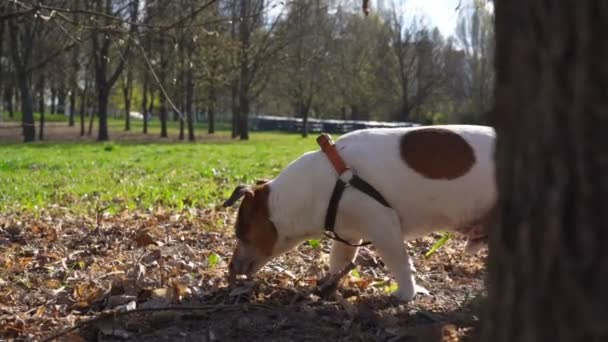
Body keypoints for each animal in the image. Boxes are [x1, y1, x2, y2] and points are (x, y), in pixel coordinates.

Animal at [221, 124, 496, 300]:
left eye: (240, 233)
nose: (231, 266)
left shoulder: (383, 225)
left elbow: (400, 263)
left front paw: (405, 295)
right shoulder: (348, 235)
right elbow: (338, 261)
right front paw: (328, 286)